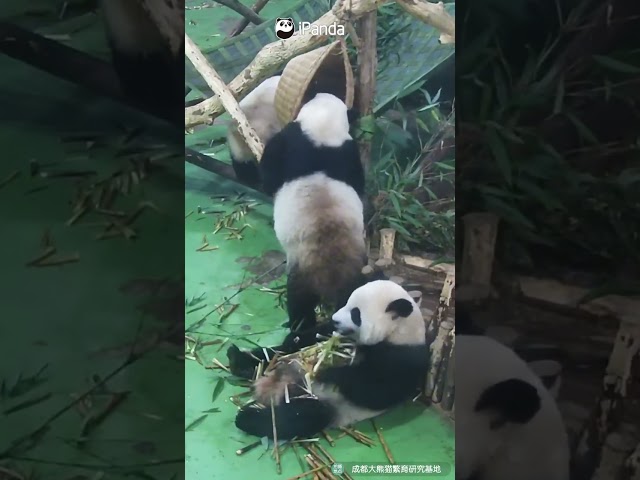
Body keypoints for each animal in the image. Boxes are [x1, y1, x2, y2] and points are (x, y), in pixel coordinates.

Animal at [233, 280, 429, 440]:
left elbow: (375, 392)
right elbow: (315, 336)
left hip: (325, 402)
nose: (335, 319)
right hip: (285, 362)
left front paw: (329, 373)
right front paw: (295, 338)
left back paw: (246, 417)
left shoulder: (405, 360)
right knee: (271, 355)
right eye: (347, 302)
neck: (400, 332)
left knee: (300, 417)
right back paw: (237, 359)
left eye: (356, 314)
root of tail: (279, 385)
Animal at [258, 92, 366, 332]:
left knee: (299, 302)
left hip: (303, 271)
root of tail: (332, 278)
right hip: (357, 275)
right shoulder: (346, 151)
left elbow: (268, 176)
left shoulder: (289, 139)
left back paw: (299, 328)